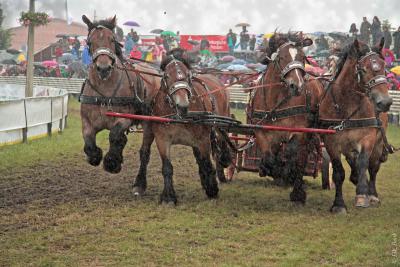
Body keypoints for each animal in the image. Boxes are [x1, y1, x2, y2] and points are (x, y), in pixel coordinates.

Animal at [79, 15, 159, 174]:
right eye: (90, 42)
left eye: (112, 39)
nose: (104, 68)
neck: (104, 90)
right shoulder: (87, 121)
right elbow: (89, 143)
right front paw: (96, 155)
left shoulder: (124, 118)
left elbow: (115, 134)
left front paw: (112, 161)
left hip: (149, 122)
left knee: (144, 151)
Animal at [132, 48, 231, 204]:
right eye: (166, 75)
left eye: (187, 75)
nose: (182, 105)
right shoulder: (162, 139)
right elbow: (167, 167)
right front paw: (168, 197)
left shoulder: (202, 140)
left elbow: (207, 163)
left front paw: (212, 189)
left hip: (220, 122)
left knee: (221, 143)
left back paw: (224, 162)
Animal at [250, 33, 322, 204]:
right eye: (282, 57)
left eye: (302, 57)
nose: (297, 86)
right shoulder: (262, 131)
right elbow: (269, 157)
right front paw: (269, 170)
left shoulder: (299, 132)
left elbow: (293, 155)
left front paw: (288, 175)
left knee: (301, 157)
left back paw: (297, 191)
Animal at [318, 38, 394, 214]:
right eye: (364, 69)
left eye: (384, 66)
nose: (385, 102)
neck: (347, 106)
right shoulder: (331, 142)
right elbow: (338, 172)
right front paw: (339, 204)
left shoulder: (368, 138)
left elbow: (364, 164)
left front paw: (362, 195)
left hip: (378, 143)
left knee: (373, 167)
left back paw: (371, 194)